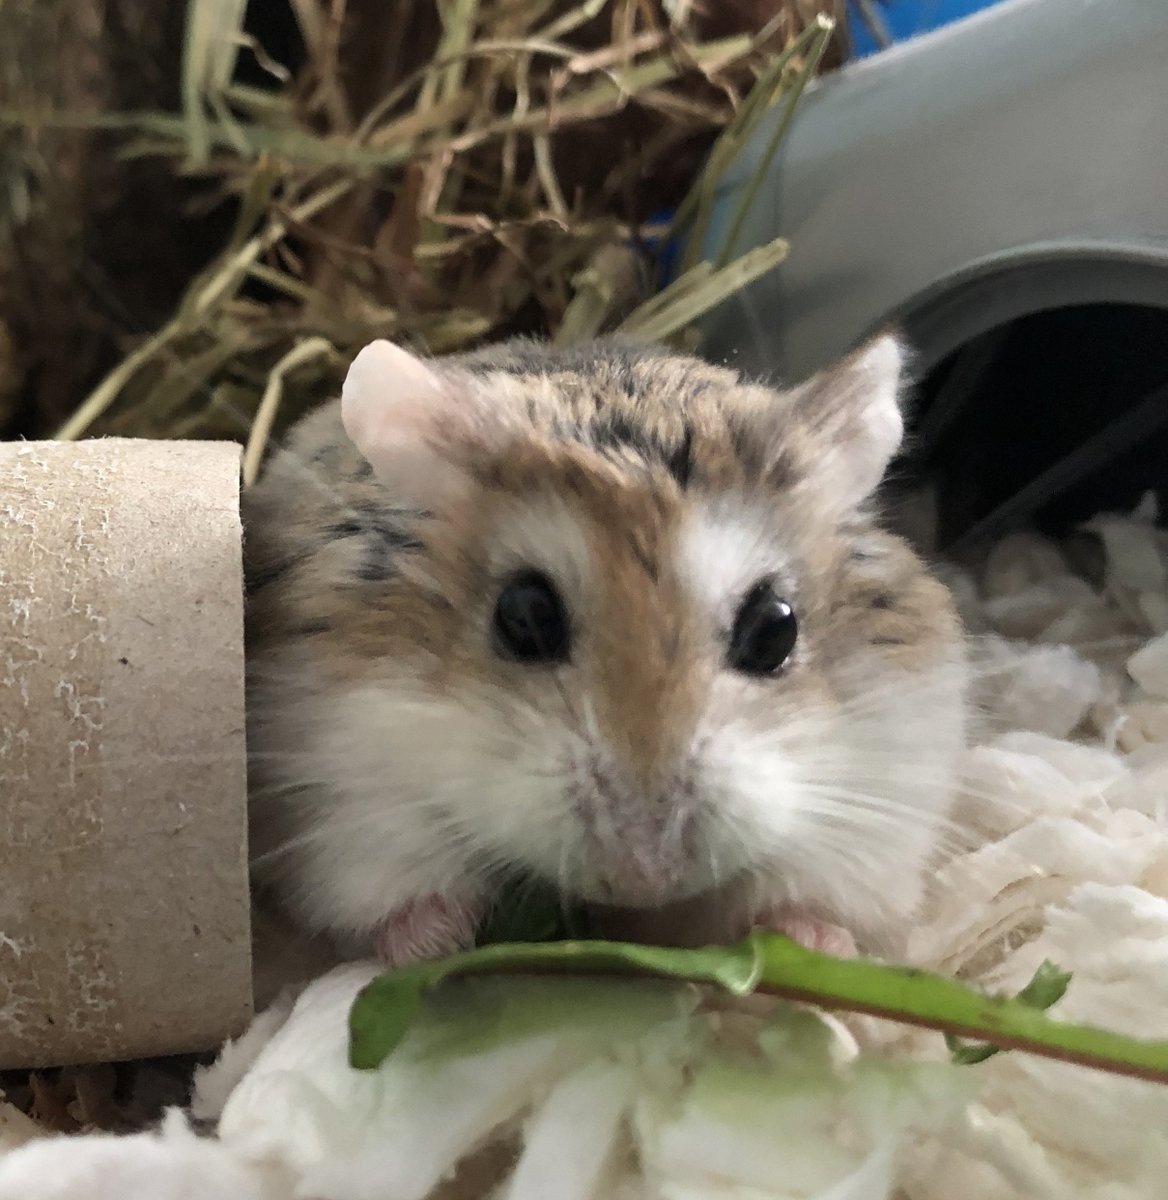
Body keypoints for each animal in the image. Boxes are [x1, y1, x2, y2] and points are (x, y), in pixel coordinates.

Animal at [241, 334, 967, 966]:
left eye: (774, 631)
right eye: (524, 618)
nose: (644, 872)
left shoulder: (886, 791)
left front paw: (816, 943)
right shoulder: (346, 801)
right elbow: (393, 893)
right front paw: (434, 942)